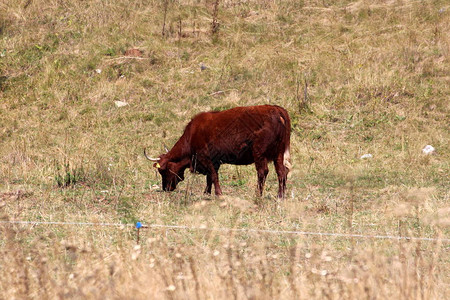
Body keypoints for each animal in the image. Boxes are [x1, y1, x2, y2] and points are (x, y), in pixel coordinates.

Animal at [145, 105, 292, 199]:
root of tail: (277, 109)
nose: (166, 188)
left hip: (259, 153)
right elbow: (210, 177)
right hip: (278, 154)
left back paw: (258, 195)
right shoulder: (214, 161)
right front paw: (207, 192)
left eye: (162, 170)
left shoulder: (206, 158)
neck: (192, 134)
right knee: (281, 172)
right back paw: (280, 195)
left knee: (263, 172)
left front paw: (219, 194)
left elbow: (213, 176)